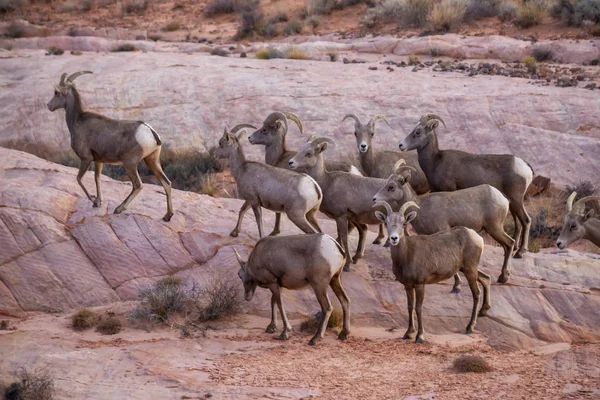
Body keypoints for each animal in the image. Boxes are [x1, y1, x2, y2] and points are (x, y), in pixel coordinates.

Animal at [46, 72, 173, 222]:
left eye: (56, 93)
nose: (48, 106)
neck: (77, 121)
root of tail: (150, 131)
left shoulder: (86, 158)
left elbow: (79, 179)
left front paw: (93, 200)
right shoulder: (98, 161)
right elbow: (97, 179)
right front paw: (98, 201)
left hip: (130, 164)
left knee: (138, 185)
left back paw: (119, 209)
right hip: (152, 161)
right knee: (167, 183)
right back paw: (167, 216)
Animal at [288, 136, 396, 270]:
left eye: (309, 153)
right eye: (300, 150)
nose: (291, 162)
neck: (327, 182)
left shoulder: (341, 216)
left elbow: (344, 237)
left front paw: (347, 265)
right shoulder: (342, 217)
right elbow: (341, 235)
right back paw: (357, 257)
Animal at [372, 161, 512, 282]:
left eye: (391, 187)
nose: (374, 199)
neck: (421, 207)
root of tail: (503, 199)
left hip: (494, 228)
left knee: (510, 243)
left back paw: (503, 278)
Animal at [376, 202, 492, 342]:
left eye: (403, 223)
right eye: (386, 223)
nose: (394, 238)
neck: (406, 255)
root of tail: (477, 238)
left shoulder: (420, 284)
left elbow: (418, 308)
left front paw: (420, 336)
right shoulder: (408, 285)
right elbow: (410, 307)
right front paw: (408, 334)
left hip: (470, 270)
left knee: (476, 293)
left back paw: (470, 327)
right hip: (467, 269)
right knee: (486, 278)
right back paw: (483, 312)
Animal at [398, 112, 536, 258]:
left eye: (417, 132)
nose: (401, 145)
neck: (435, 161)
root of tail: (525, 166)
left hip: (516, 200)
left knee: (526, 220)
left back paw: (520, 252)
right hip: (511, 203)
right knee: (518, 224)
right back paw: (516, 249)